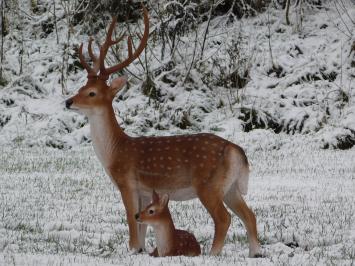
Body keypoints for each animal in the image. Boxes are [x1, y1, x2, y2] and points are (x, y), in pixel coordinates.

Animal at [65, 6, 262, 258]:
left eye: (92, 93)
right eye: (81, 87)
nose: (68, 101)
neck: (114, 152)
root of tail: (236, 150)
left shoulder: (127, 182)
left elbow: (132, 221)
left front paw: (133, 250)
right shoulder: (145, 191)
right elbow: (140, 224)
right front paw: (140, 250)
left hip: (208, 184)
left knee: (224, 218)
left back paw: (212, 254)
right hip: (231, 187)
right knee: (249, 215)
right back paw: (255, 253)